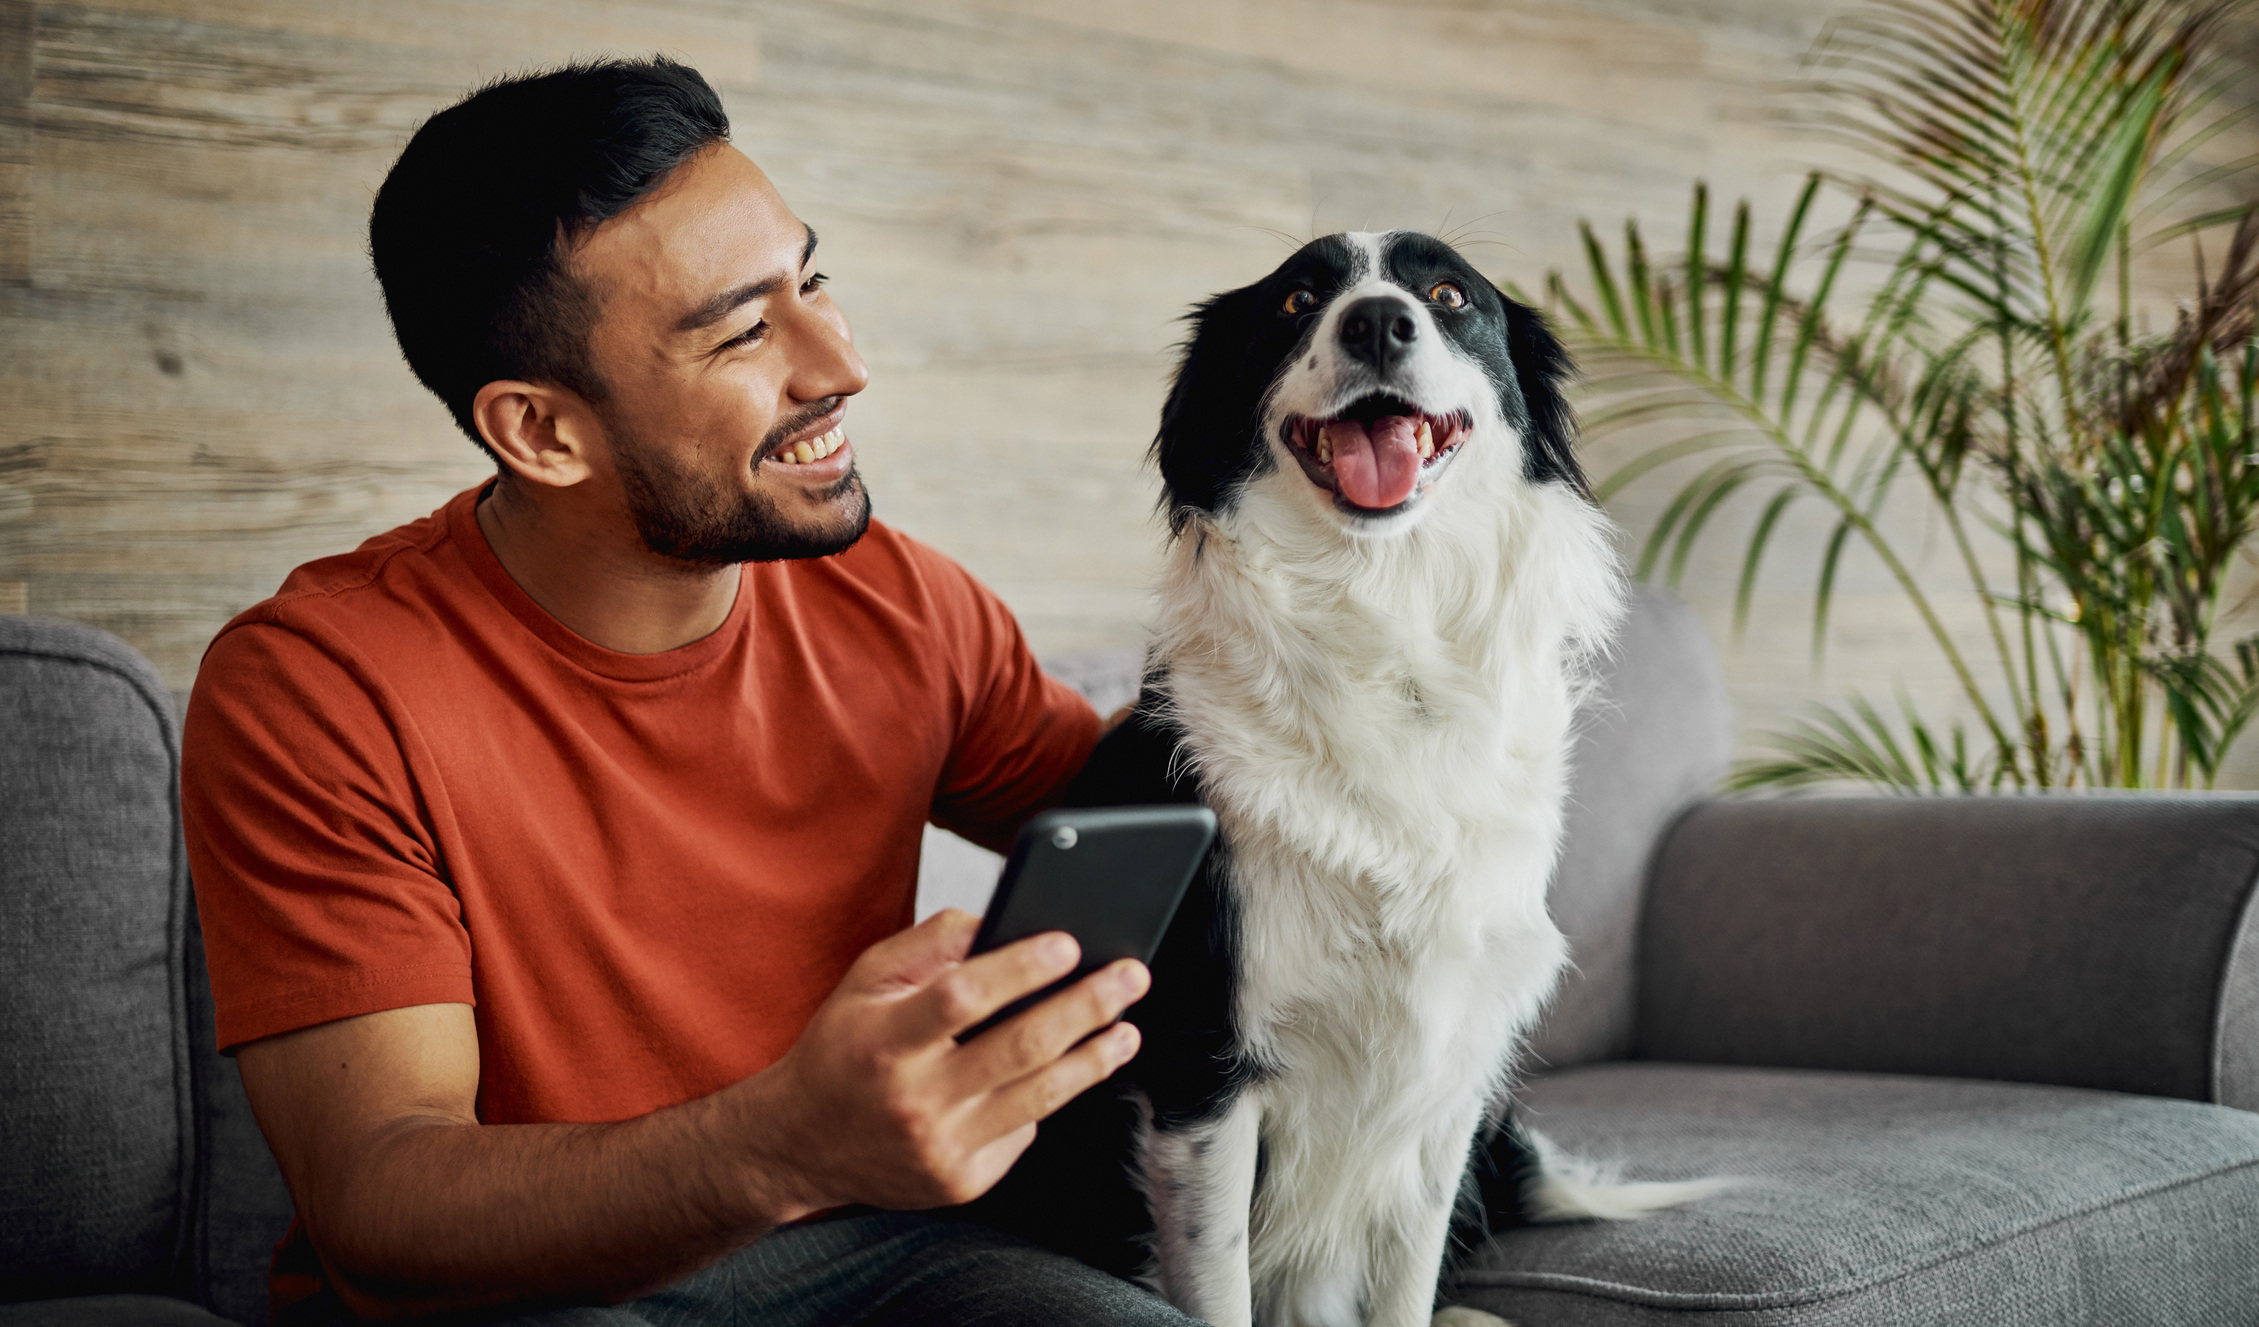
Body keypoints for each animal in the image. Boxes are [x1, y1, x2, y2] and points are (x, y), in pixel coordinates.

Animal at [971, 230, 1707, 1327]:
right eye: (1295, 300)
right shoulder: (1203, 1066)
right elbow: (1221, 1286)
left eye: (1446, 294)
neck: (1384, 621)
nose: (1378, 322)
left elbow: (1406, 1281)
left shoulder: (1446, 1072)